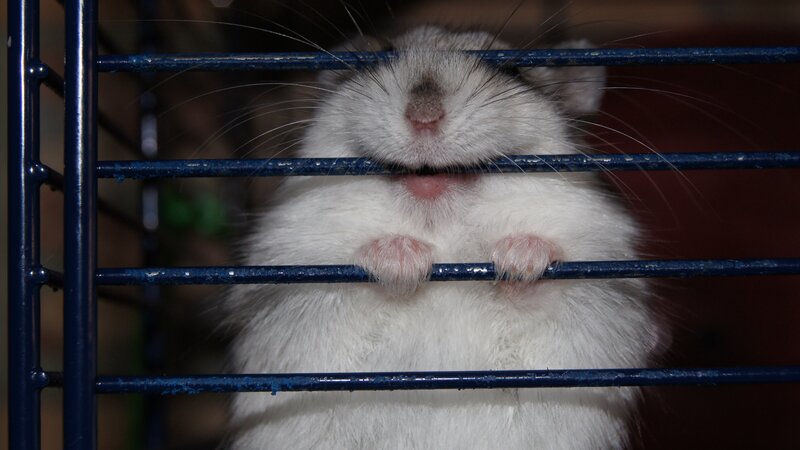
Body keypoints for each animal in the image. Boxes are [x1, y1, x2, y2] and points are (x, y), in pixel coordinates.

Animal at [225, 25, 662, 449]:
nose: (424, 117)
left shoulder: (600, 293)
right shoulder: (292, 285)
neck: (444, 233)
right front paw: (403, 257)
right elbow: (357, 283)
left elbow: (540, 289)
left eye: (512, 70)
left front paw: (519, 258)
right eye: (377, 58)